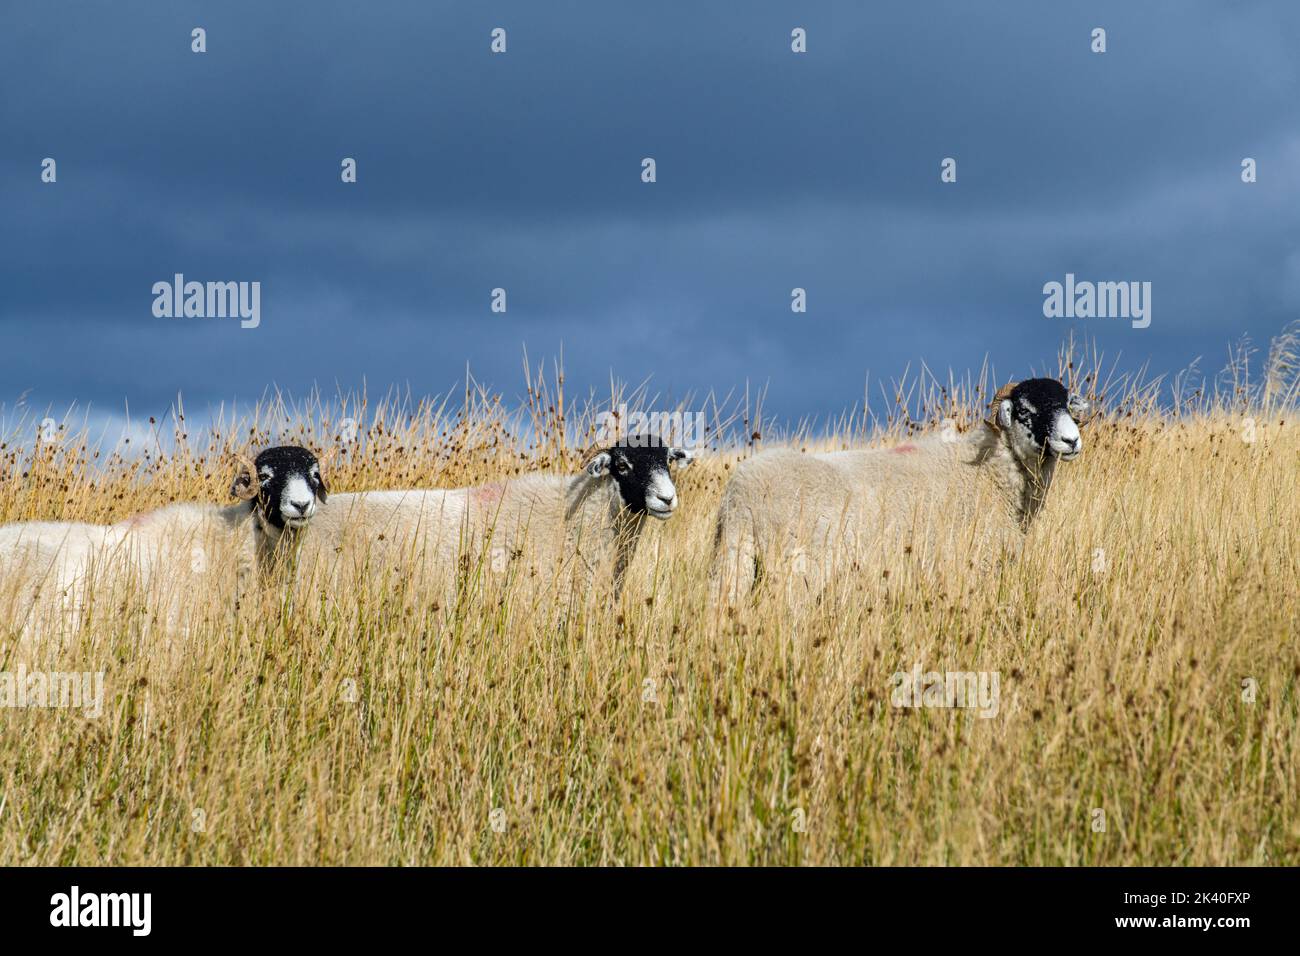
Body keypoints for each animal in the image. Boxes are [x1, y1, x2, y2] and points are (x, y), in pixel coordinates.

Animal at [717, 379, 1092, 598]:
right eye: (1025, 411)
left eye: (1067, 406)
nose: (1071, 441)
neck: (991, 471)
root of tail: (743, 491)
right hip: (797, 571)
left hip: (734, 560)